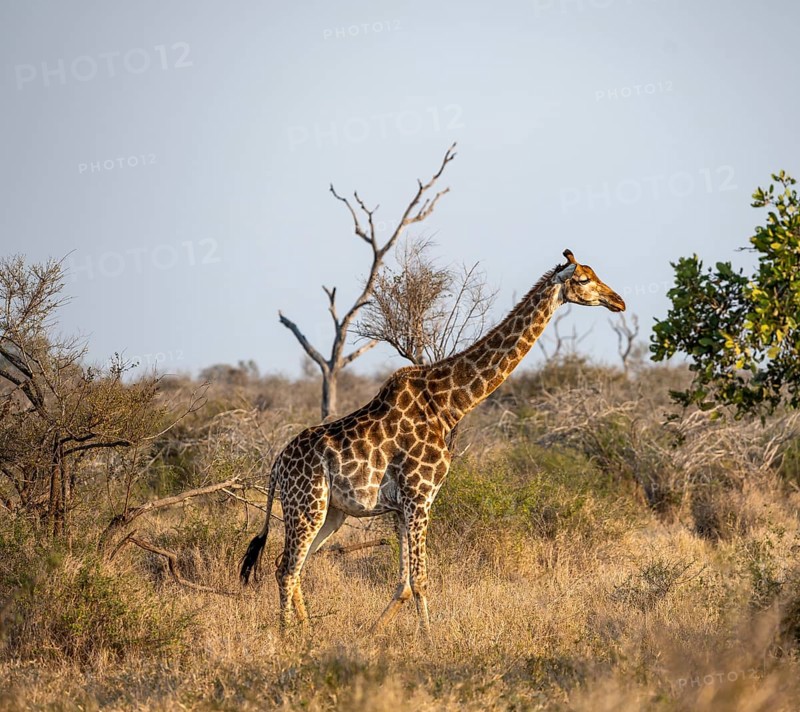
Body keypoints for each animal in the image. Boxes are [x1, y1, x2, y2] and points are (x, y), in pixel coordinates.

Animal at [240, 249, 625, 634]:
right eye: (584, 279)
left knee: (292, 566)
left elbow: (404, 585)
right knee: (285, 568)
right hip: (306, 504)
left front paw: (375, 633)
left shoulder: (401, 506)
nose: (618, 301)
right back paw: (289, 637)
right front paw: (429, 640)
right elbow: (421, 580)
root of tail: (277, 465)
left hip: (331, 513)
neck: (448, 405)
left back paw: (308, 633)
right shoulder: (420, 496)